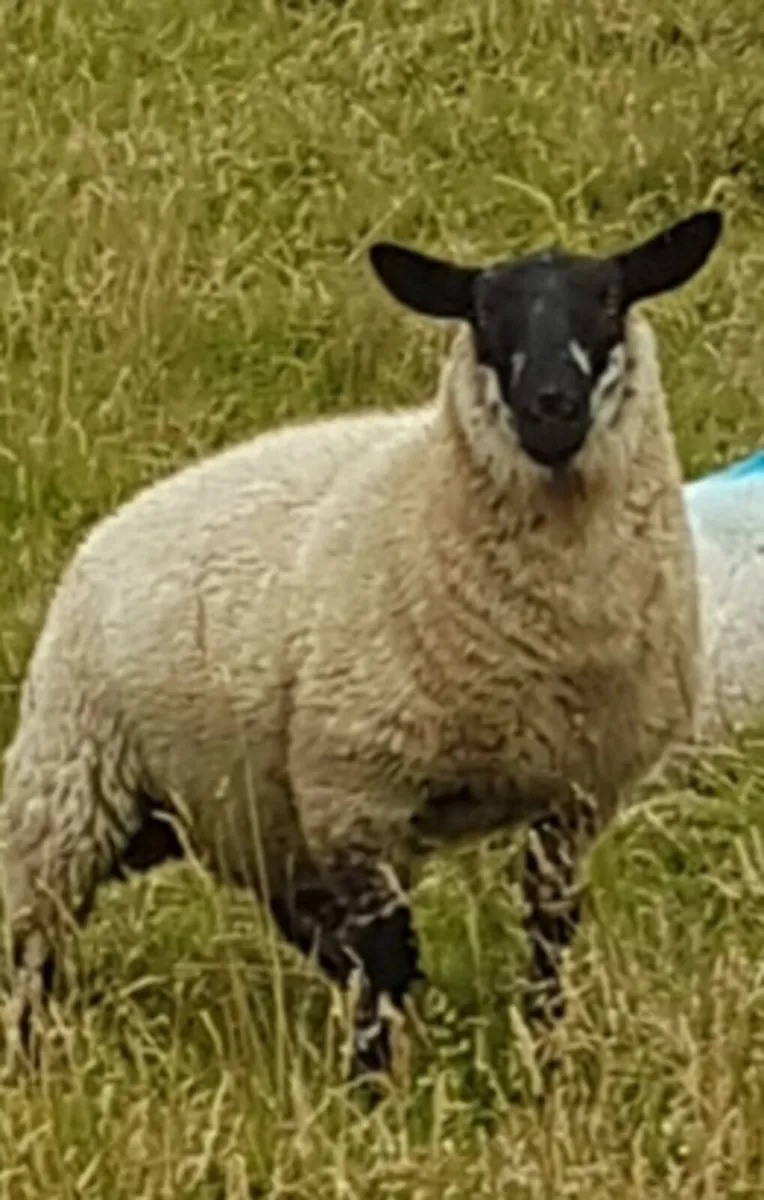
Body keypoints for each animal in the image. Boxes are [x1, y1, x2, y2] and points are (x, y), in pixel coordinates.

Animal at [0, 208, 723, 1082]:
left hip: (257, 822)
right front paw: (375, 1089)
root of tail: (104, 533)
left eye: (609, 300)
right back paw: (26, 1054)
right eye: (484, 314)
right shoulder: (358, 791)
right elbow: (386, 954)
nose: (550, 407)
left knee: (319, 937)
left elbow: (547, 937)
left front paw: (544, 1051)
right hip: (68, 790)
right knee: (32, 950)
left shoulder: (576, 795)